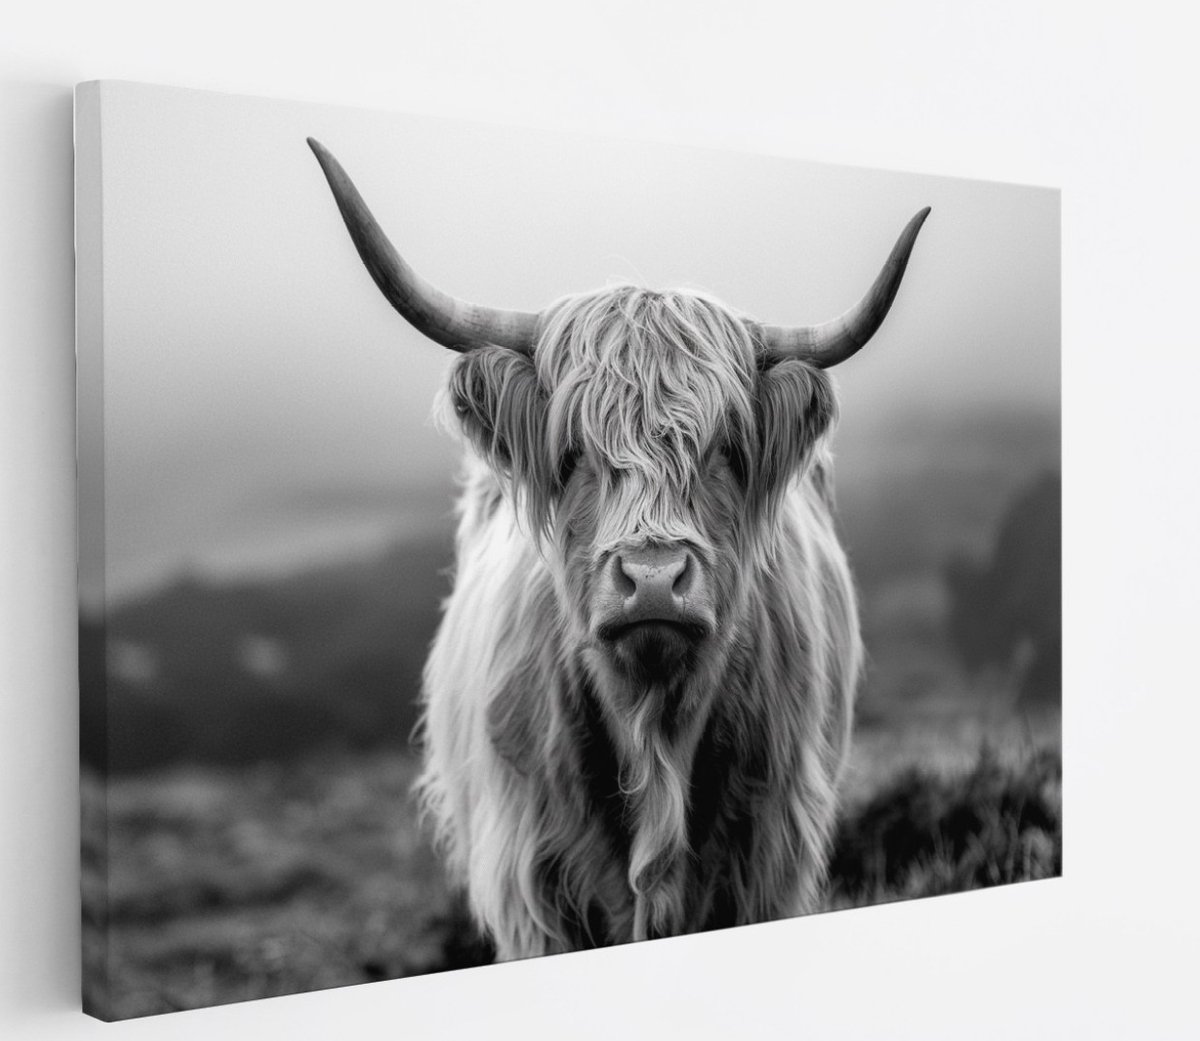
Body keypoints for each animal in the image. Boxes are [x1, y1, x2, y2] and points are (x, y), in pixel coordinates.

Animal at [309, 138, 929, 959]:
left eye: (726, 449)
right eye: (572, 453)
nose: (655, 580)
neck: (653, 734)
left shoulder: (768, 857)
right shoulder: (534, 884)